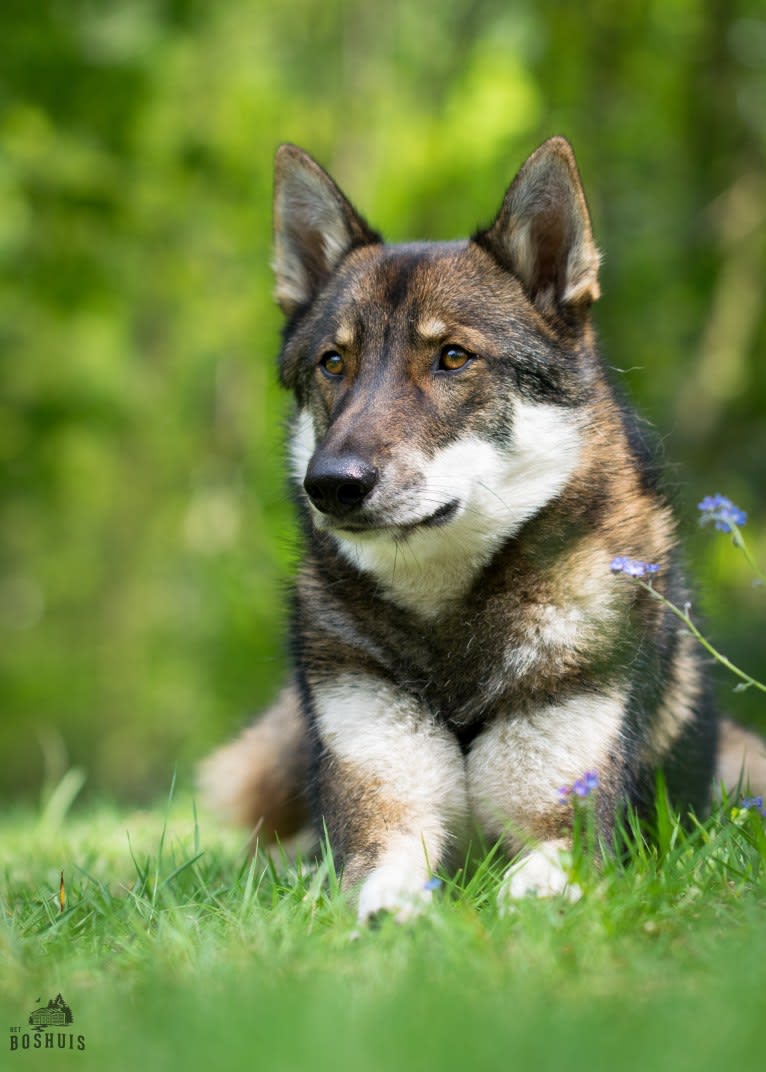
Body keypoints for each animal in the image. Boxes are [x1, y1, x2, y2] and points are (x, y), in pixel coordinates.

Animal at [202, 136, 766, 921]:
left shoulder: (566, 834)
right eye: (334, 363)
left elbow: (527, 896)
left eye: (453, 357)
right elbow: (378, 884)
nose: (331, 484)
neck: (452, 635)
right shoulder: (384, 821)